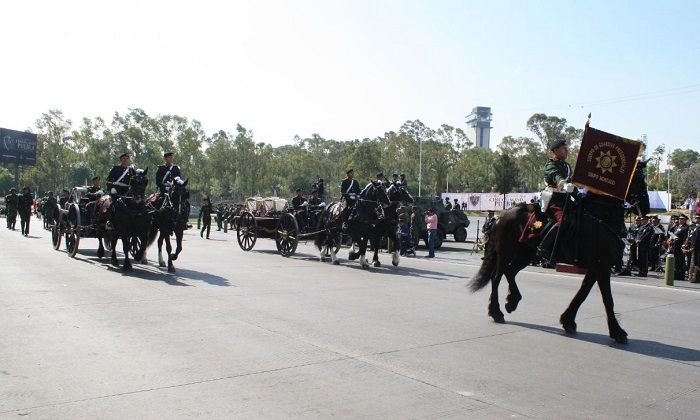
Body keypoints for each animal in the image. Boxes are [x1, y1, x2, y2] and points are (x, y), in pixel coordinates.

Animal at [470, 161, 652, 344]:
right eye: (638, 179)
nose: (646, 207)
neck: (600, 218)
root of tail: (504, 214)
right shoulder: (601, 267)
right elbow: (607, 299)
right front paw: (617, 332)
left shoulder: (596, 267)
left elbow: (583, 293)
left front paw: (568, 321)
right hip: (506, 251)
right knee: (496, 277)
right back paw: (496, 311)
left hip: (526, 253)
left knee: (510, 272)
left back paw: (511, 301)